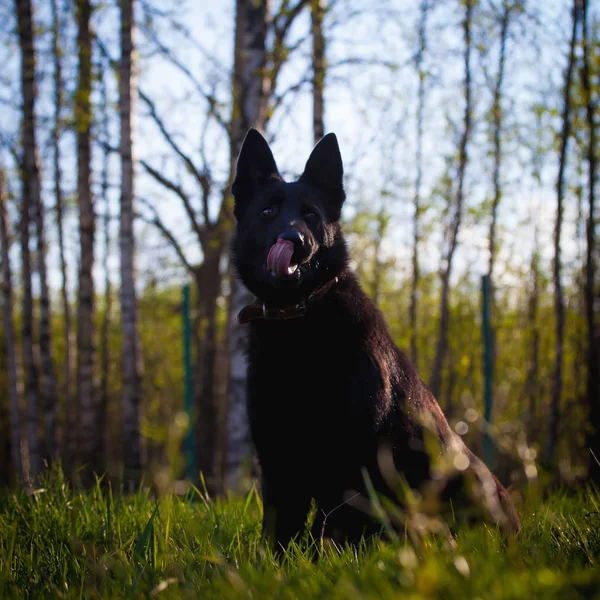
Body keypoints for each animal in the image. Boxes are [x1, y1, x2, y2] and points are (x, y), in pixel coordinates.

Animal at [231, 129, 520, 552]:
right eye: (268, 211)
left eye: (311, 215)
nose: (294, 239)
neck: (300, 321)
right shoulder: (278, 458)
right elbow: (281, 530)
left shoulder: (351, 459)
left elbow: (329, 528)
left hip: (464, 475)